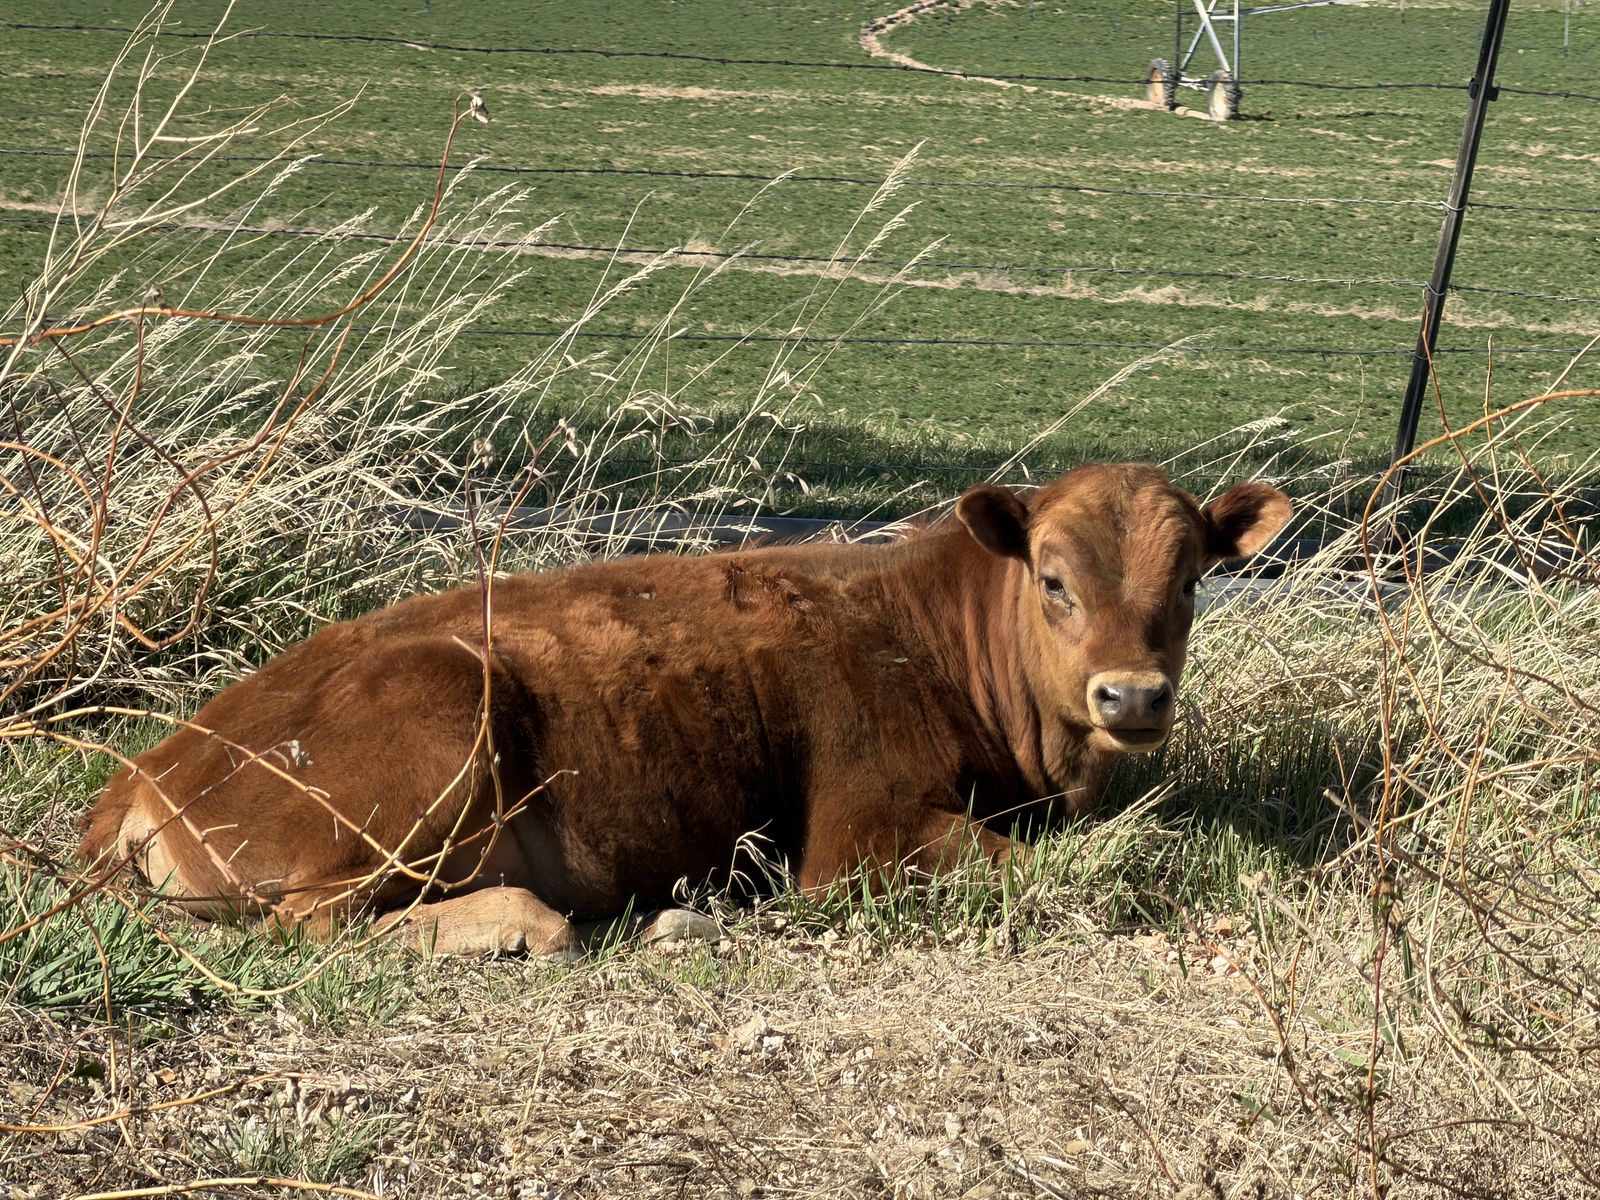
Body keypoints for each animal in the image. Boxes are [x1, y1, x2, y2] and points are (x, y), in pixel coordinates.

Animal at [78, 463, 1291, 957]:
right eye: (1052, 579)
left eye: (1192, 581)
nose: (1132, 694)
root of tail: (143, 770)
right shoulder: (861, 837)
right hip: (433, 734)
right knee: (321, 924)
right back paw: (550, 923)